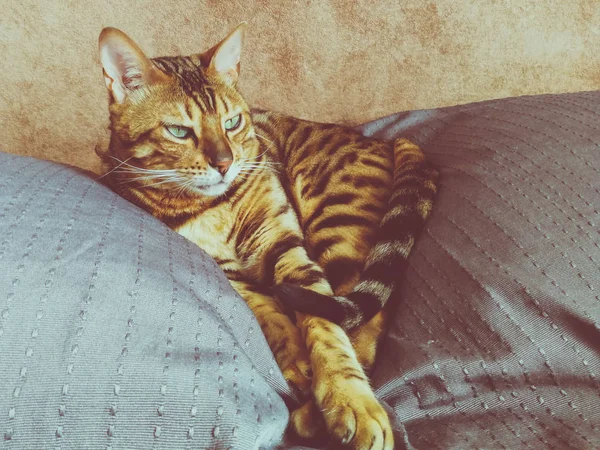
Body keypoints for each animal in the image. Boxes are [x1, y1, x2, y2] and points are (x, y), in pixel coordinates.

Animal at [97, 22, 436, 450]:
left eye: (232, 123)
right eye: (178, 131)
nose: (225, 163)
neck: (216, 206)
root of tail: (389, 140)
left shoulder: (285, 246)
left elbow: (326, 331)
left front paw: (350, 400)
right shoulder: (230, 274)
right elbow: (272, 317)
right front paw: (297, 364)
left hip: (335, 223)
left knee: (363, 317)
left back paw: (315, 415)